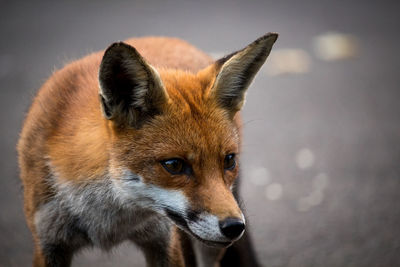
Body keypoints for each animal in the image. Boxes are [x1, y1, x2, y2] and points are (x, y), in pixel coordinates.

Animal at [16, 32, 278, 266]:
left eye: (229, 160)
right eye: (174, 165)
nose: (234, 227)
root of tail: (172, 39)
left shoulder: (164, 241)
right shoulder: (48, 242)